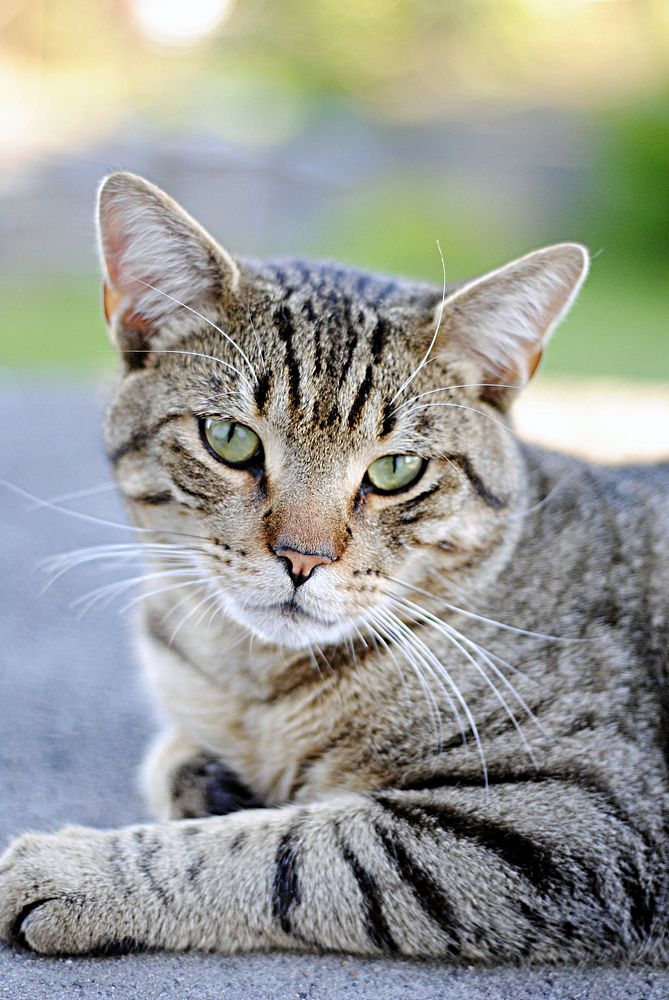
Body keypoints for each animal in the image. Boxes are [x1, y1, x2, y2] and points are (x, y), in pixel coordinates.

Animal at [1, 172, 668, 960]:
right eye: (228, 439)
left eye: (396, 470)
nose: (302, 557)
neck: (253, 683)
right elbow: (176, 760)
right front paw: (210, 780)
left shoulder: (571, 814)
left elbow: (288, 852)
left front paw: (74, 868)